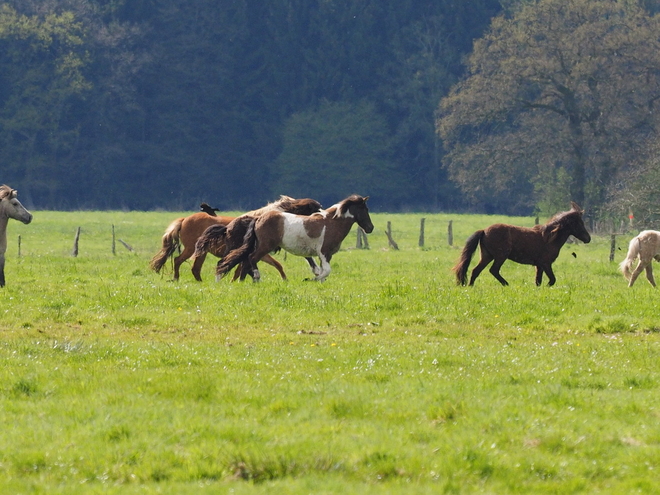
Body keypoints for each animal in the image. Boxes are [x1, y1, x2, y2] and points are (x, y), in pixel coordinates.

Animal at [152, 198, 322, 282]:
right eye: (314, 207)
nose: (322, 215)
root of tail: (184, 219)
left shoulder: (260, 254)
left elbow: (274, 265)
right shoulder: (258, 252)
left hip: (201, 252)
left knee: (195, 268)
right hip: (191, 249)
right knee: (178, 260)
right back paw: (176, 278)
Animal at [215, 196, 372, 284]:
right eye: (365, 209)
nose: (370, 227)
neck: (332, 223)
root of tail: (258, 218)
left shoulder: (325, 256)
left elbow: (322, 271)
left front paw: (320, 283)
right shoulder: (324, 253)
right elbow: (326, 271)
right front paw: (309, 280)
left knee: (245, 262)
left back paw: (245, 282)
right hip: (264, 246)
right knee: (251, 259)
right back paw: (256, 278)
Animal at [452, 202, 592, 286]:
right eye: (579, 222)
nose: (588, 238)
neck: (549, 238)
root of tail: (484, 231)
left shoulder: (539, 266)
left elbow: (538, 281)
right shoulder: (546, 264)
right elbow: (552, 280)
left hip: (487, 256)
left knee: (476, 270)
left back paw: (470, 287)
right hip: (500, 256)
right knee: (493, 270)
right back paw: (507, 285)